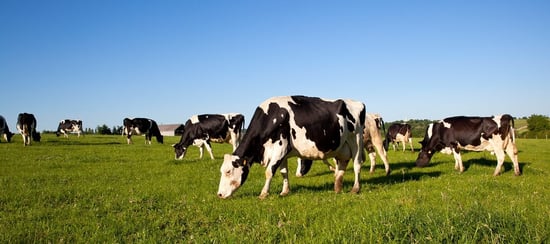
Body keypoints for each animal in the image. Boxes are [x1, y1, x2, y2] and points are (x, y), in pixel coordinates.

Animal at [218, 94, 368, 199]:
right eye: (222, 171)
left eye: (228, 171)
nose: (219, 194)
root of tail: (358, 102)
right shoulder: (282, 153)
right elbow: (284, 172)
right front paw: (284, 191)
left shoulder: (280, 147)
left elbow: (269, 171)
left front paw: (263, 193)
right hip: (342, 146)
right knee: (342, 165)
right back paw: (337, 188)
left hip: (356, 140)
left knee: (357, 164)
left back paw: (355, 189)